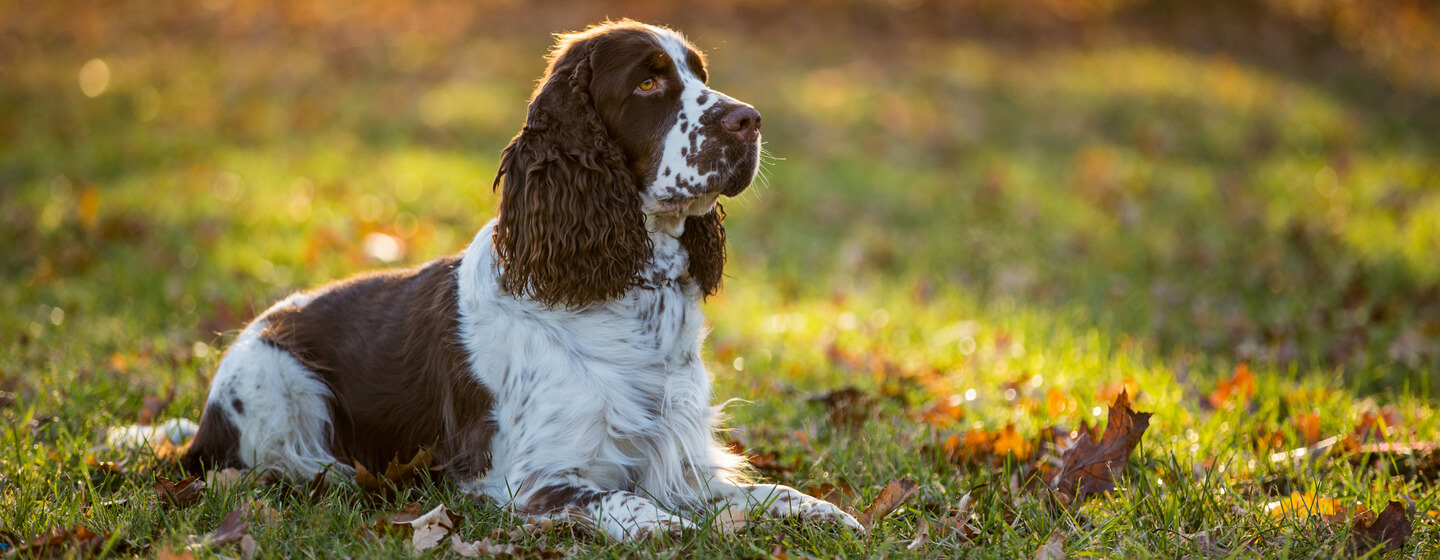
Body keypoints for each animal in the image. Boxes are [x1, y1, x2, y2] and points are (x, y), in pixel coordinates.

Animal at [177, 20, 852, 535]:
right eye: (648, 81)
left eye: (701, 77)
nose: (751, 120)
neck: (631, 291)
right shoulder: (534, 480)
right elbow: (634, 504)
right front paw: (680, 530)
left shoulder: (682, 457)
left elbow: (772, 493)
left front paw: (828, 513)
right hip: (278, 381)